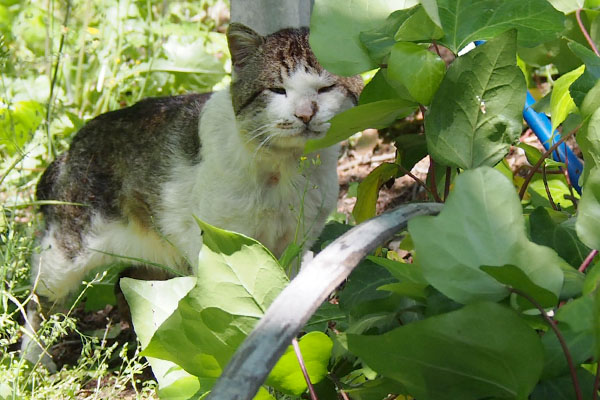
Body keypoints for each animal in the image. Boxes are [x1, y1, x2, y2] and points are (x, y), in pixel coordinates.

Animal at [22, 21, 360, 366]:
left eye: (325, 89)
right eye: (278, 90)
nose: (305, 113)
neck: (288, 167)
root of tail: (68, 151)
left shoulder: (297, 241)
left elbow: (283, 299)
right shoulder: (219, 242)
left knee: (128, 285)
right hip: (65, 255)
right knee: (36, 298)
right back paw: (34, 359)